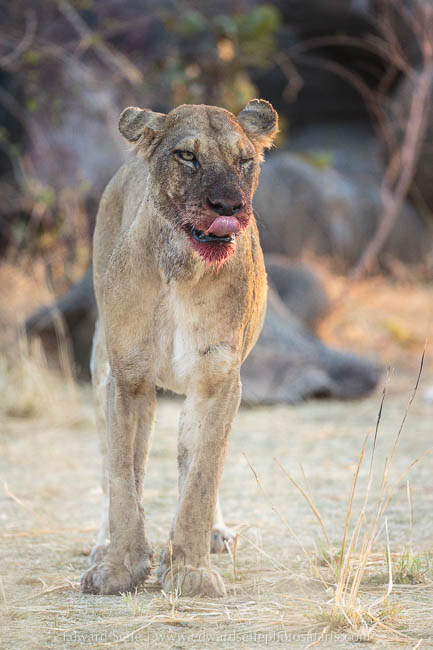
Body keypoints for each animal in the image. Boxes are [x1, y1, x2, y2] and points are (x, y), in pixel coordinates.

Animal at [80, 100, 278, 598]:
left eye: (244, 161)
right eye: (187, 156)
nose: (228, 206)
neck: (182, 269)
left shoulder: (218, 379)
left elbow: (202, 476)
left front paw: (190, 570)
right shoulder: (127, 378)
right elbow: (122, 476)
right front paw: (118, 568)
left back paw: (215, 535)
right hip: (98, 365)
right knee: (108, 462)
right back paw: (102, 543)